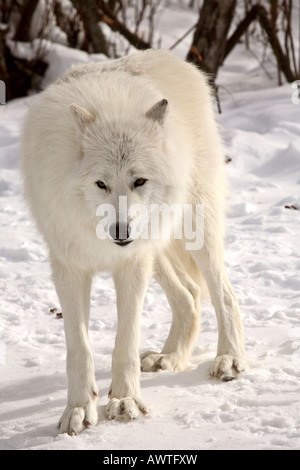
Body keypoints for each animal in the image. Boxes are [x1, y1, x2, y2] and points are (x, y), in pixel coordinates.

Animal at [20, 49, 246, 436]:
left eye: (139, 180)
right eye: (101, 184)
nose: (121, 230)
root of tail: (179, 61)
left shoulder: (131, 264)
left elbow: (124, 343)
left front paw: (124, 401)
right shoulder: (69, 265)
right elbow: (79, 348)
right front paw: (78, 409)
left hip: (192, 230)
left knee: (224, 294)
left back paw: (228, 358)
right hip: (157, 248)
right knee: (189, 295)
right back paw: (170, 357)